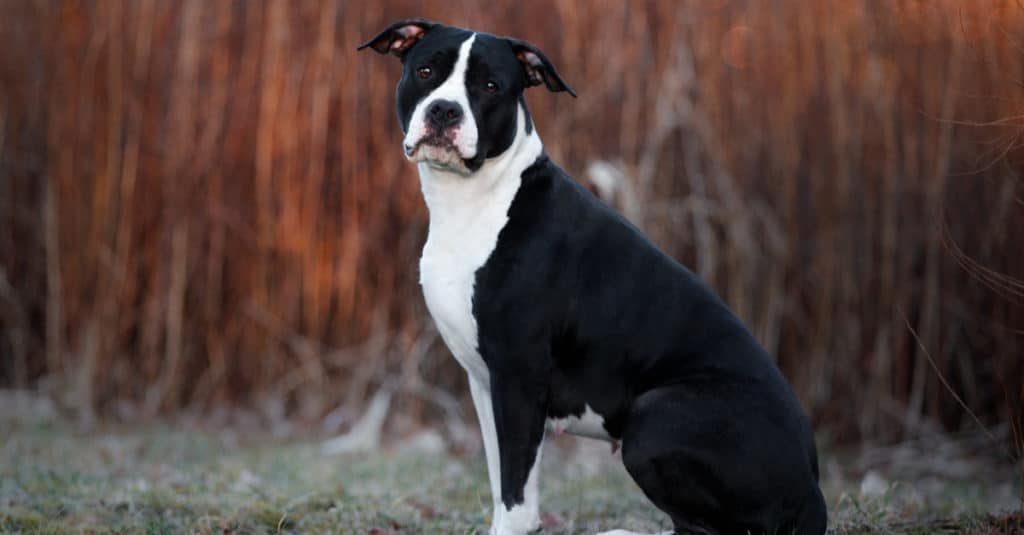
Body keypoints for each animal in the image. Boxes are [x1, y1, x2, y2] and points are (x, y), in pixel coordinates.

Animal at [358, 18, 823, 528]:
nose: (444, 110)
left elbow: (516, 493)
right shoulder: (484, 382)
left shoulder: (519, 376)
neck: (479, 199)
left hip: (654, 416)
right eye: (425, 70)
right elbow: (503, 484)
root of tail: (813, 488)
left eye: (490, 85)